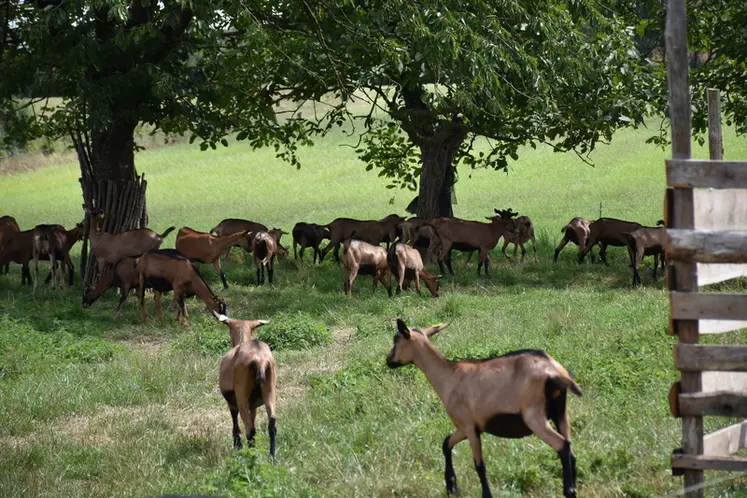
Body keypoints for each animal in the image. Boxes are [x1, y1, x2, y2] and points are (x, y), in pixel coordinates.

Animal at [213, 314, 278, 458]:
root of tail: (260, 360)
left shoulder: (232, 400)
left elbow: (235, 420)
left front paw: (237, 444)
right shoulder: (253, 405)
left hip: (242, 395)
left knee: (250, 429)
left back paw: (250, 455)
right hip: (270, 390)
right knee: (272, 424)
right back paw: (271, 457)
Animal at [388, 320, 580, 498]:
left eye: (396, 339)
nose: (388, 360)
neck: (449, 376)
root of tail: (555, 371)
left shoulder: (469, 426)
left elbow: (479, 465)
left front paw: (484, 494)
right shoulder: (464, 428)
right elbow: (446, 443)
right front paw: (452, 487)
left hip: (534, 415)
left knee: (562, 445)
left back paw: (569, 491)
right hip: (560, 412)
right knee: (571, 450)